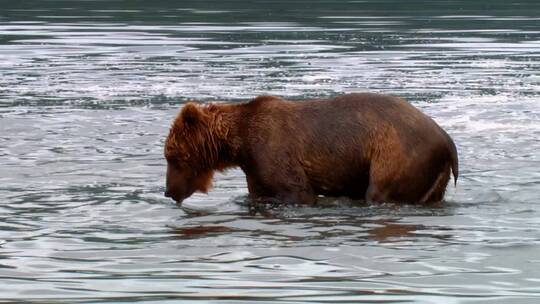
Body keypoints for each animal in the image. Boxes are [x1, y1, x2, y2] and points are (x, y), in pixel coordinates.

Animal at [166, 92, 460, 204]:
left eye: (173, 157)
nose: (168, 191)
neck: (240, 144)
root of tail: (446, 139)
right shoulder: (255, 170)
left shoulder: (273, 152)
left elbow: (298, 191)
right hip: (434, 176)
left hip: (396, 153)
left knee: (378, 191)